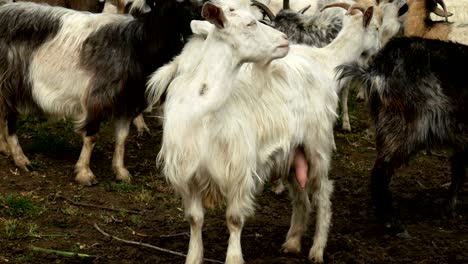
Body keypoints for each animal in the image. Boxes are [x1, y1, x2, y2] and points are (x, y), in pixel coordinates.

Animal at [0, 0, 205, 186]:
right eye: (179, 3)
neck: (137, 45)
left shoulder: (126, 102)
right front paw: (84, 173)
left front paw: (121, 171)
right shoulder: (97, 97)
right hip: (10, 83)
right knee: (10, 119)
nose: (202, 14)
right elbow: (92, 136)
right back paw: (21, 159)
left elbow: (122, 138)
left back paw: (4, 149)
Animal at [336, 36, 468, 234]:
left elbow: (458, 168)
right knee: (380, 173)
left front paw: (449, 208)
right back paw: (392, 224)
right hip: (403, 129)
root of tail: (377, 70)